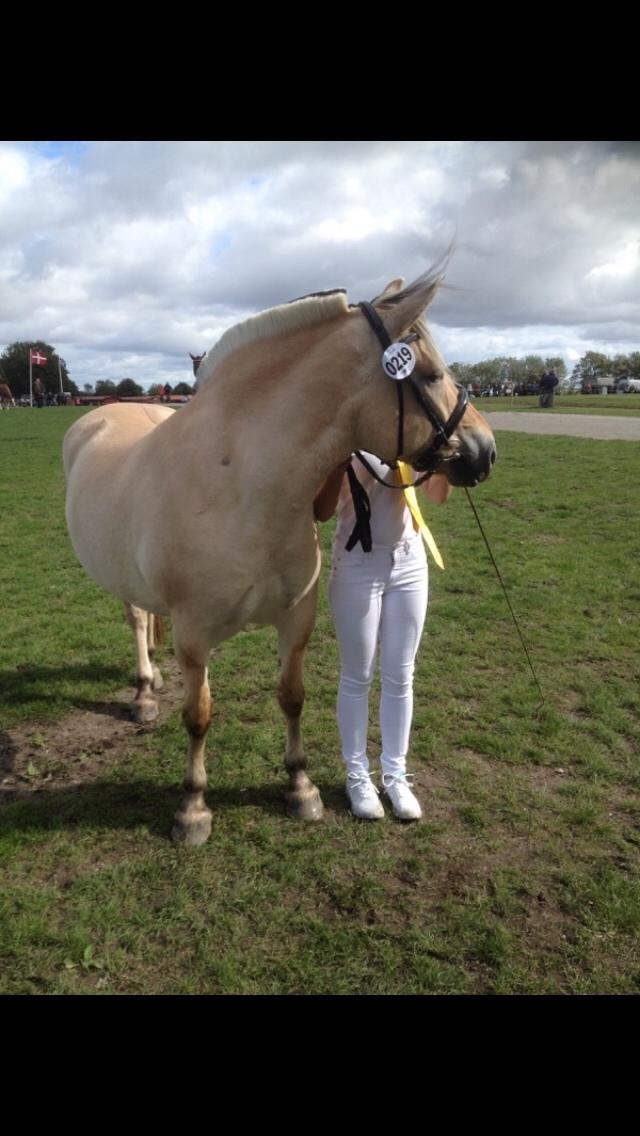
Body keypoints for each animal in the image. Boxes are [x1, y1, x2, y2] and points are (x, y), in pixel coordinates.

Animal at [63, 268, 495, 845]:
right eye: (427, 375)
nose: (485, 451)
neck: (238, 484)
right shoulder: (194, 636)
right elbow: (198, 716)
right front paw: (193, 809)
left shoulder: (296, 620)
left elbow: (292, 696)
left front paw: (300, 787)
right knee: (136, 621)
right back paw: (144, 694)